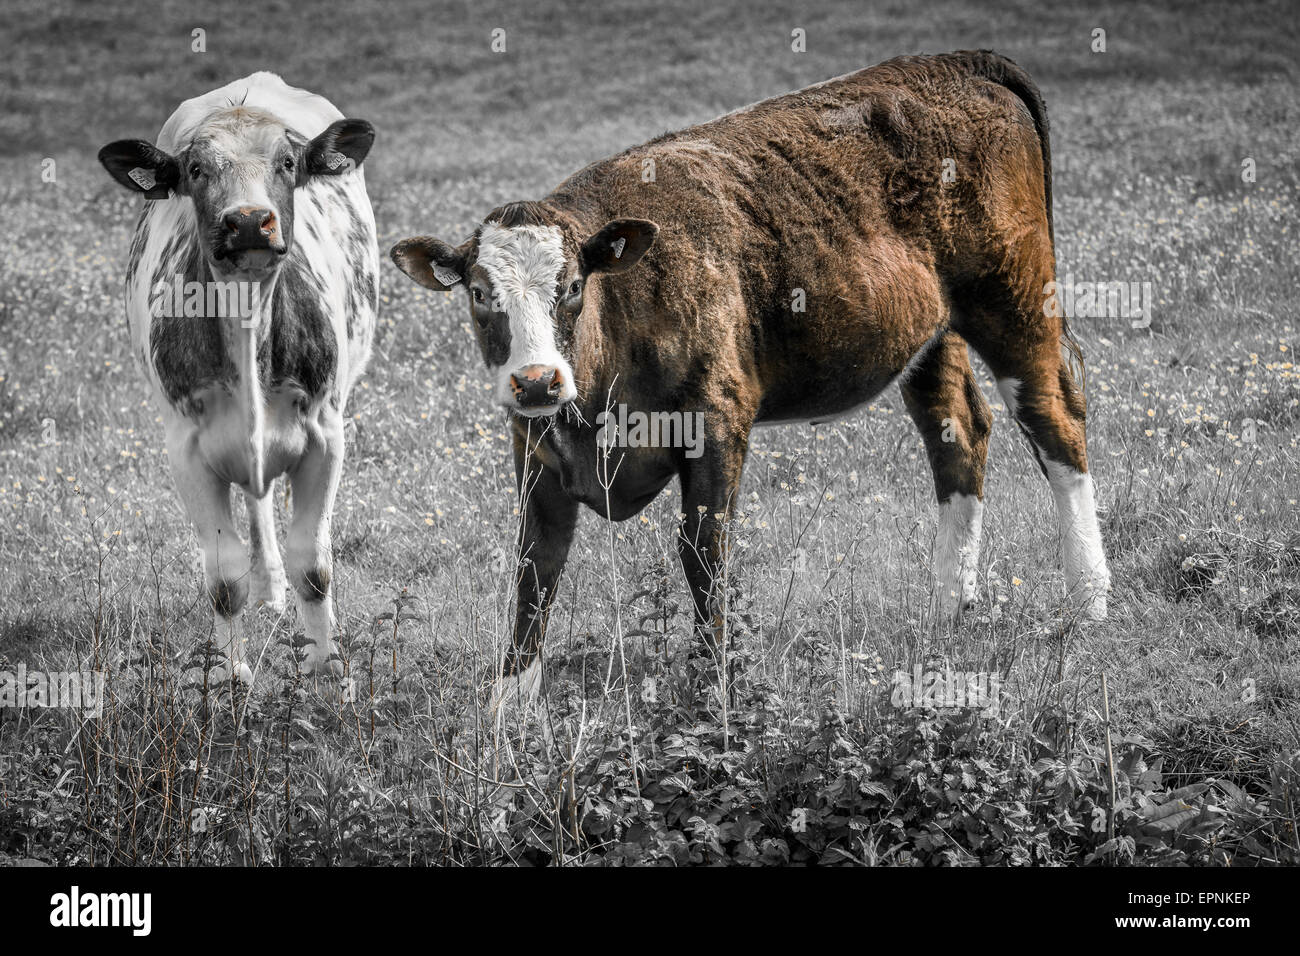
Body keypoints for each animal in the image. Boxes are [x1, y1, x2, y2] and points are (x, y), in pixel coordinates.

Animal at [100, 74, 377, 686]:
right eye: (196, 168)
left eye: (288, 161)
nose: (249, 220)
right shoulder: (186, 449)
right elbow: (224, 577)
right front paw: (231, 675)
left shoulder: (326, 434)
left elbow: (313, 565)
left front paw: (326, 664)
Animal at [390, 50, 1112, 702]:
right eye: (479, 294)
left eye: (571, 287)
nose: (538, 381)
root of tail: (953, 62)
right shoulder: (537, 451)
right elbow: (534, 567)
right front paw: (510, 710)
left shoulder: (716, 420)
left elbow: (703, 551)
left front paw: (715, 685)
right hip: (931, 331)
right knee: (957, 430)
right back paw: (947, 606)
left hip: (1012, 296)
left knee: (1054, 419)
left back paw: (1089, 603)